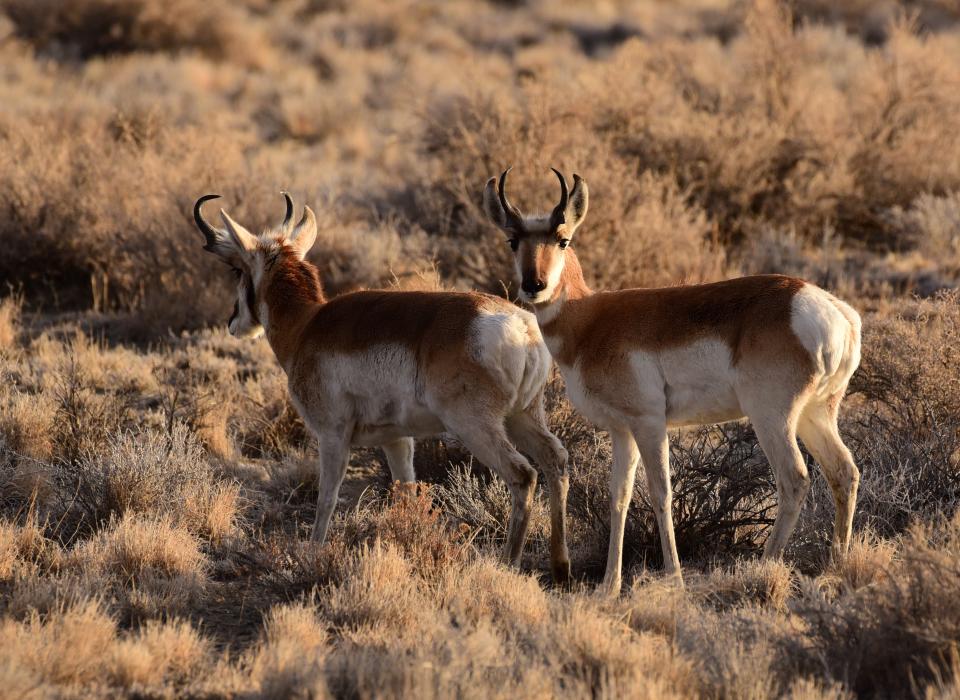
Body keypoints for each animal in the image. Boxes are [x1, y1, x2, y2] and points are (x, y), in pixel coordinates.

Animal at [195, 191, 568, 580]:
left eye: (236, 269)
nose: (233, 322)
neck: (308, 324)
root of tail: (520, 324)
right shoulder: (397, 440)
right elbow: (406, 493)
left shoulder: (333, 436)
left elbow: (327, 497)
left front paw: (312, 552)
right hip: (522, 417)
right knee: (556, 460)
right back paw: (560, 566)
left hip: (476, 427)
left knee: (523, 474)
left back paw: (508, 564)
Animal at [484, 168, 860, 592]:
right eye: (513, 240)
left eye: (563, 238)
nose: (534, 286)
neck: (591, 319)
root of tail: (831, 309)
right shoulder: (622, 430)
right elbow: (619, 497)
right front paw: (609, 586)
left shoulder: (650, 423)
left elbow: (660, 493)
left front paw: (675, 577)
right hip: (815, 416)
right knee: (844, 472)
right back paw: (835, 566)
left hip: (772, 418)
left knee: (794, 479)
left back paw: (763, 567)